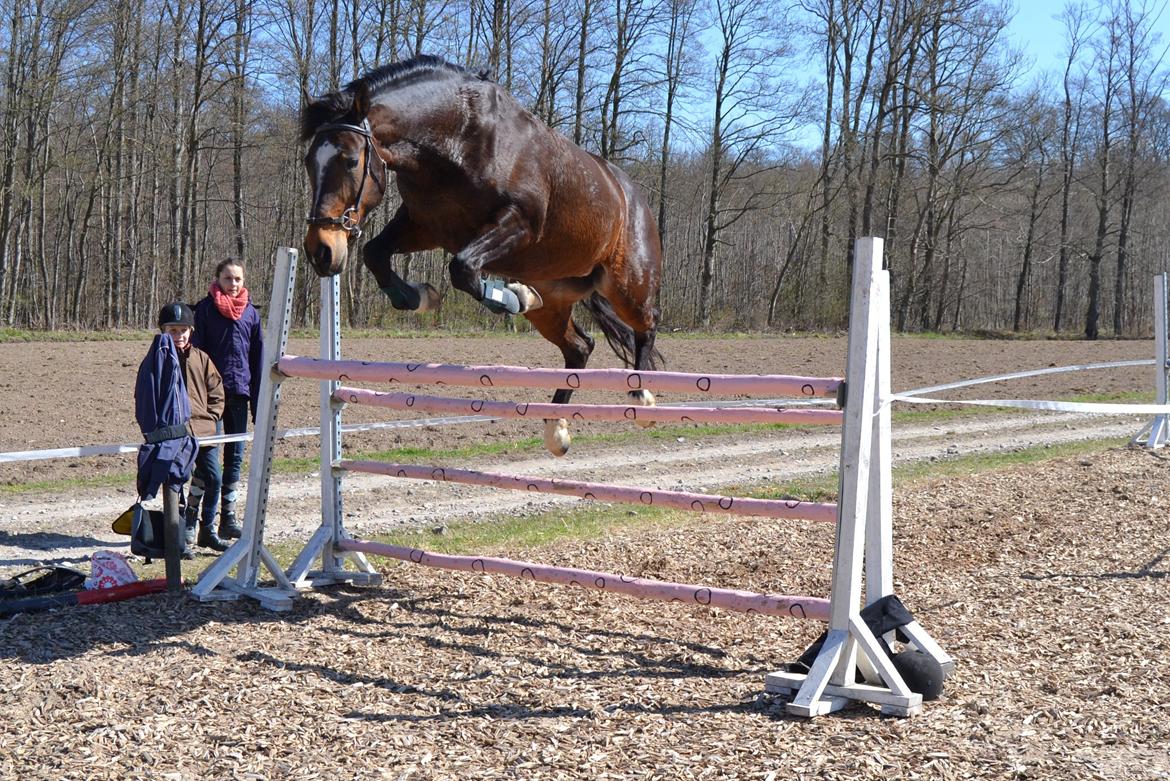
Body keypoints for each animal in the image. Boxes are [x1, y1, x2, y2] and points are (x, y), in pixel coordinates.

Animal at [301, 54, 664, 458]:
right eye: (308, 162)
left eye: (350, 160)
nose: (321, 251)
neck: (455, 143)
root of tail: (632, 193)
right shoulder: (424, 227)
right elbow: (375, 254)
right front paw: (419, 297)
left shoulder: (517, 224)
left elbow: (461, 269)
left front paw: (510, 297)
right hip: (554, 302)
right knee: (580, 347)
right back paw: (555, 428)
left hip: (626, 284)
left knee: (647, 324)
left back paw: (642, 398)